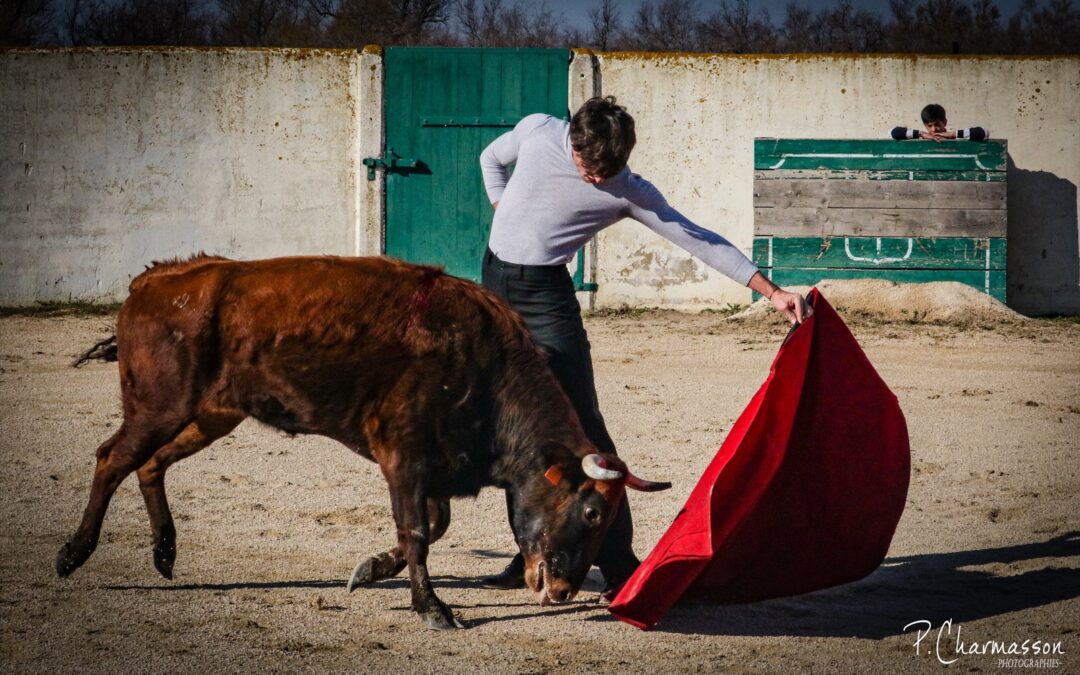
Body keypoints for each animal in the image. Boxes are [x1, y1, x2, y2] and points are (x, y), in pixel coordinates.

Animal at [61, 252, 665, 626]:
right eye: (591, 512)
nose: (561, 591)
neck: (482, 366)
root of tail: (154, 280)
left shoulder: (434, 466)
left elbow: (432, 527)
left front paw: (371, 569)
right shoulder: (403, 455)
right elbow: (418, 531)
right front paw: (432, 609)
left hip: (210, 414)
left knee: (150, 464)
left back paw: (164, 552)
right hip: (159, 406)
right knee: (112, 459)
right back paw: (73, 554)